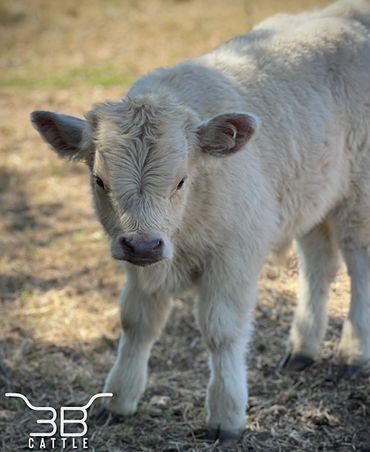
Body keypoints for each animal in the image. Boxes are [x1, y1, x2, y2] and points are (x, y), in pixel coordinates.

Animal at [30, 0, 370, 444]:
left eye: (181, 180)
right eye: (99, 180)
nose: (143, 244)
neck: (183, 234)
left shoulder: (234, 256)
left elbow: (221, 331)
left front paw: (226, 416)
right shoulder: (141, 264)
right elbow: (136, 323)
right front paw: (117, 400)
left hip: (358, 196)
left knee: (359, 266)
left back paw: (353, 353)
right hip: (312, 195)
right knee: (319, 265)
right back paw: (302, 349)